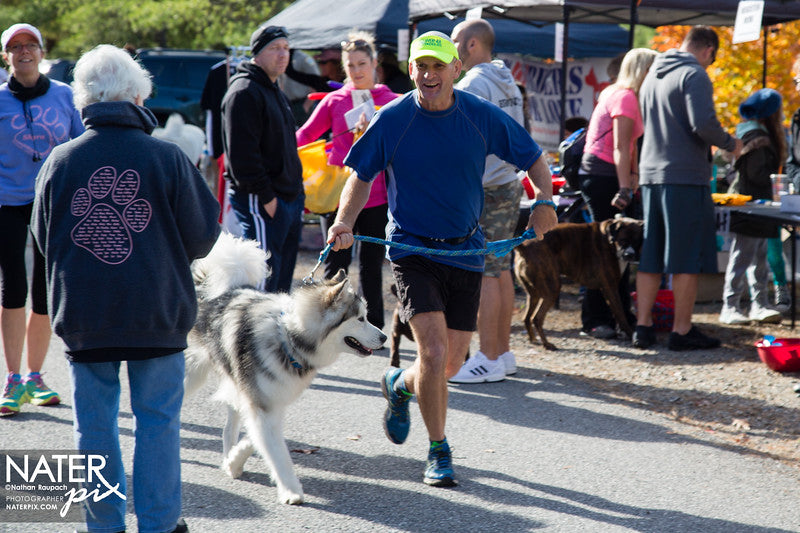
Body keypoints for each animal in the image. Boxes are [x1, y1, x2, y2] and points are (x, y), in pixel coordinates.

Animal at [188, 233, 388, 502]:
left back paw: (231, 463)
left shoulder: (269, 400)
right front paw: (291, 490)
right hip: (191, 374)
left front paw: (234, 460)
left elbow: (256, 438)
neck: (288, 337)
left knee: (229, 428)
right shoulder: (262, 404)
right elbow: (277, 453)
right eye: (360, 319)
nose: (384, 337)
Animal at [512, 216, 644, 350]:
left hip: (533, 294)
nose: (630, 255)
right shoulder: (610, 288)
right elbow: (621, 314)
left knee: (527, 317)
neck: (609, 239)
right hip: (552, 289)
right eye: (623, 240)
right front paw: (631, 334)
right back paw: (547, 344)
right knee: (537, 318)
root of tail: (524, 246)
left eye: (637, 241)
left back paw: (533, 339)